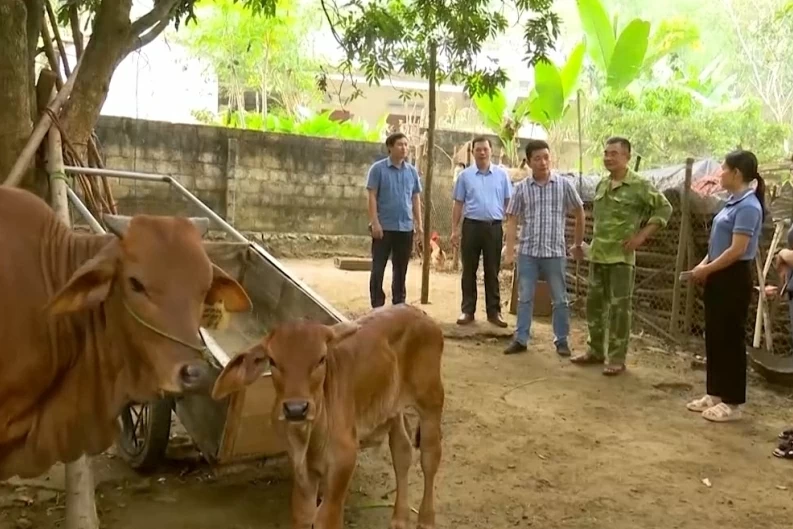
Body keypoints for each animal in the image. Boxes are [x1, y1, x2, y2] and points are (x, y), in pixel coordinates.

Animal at [210, 304, 446, 528]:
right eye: (274, 361)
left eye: (321, 359)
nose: (296, 408)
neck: (311, 437)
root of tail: (420, 313)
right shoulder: (301, 469)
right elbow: (303, 513)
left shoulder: (343, 463)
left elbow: (326, 518)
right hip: (392, 408)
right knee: (402, 451)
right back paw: (399, 518)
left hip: (431, 399)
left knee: (430, 456)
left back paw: (426, 519)